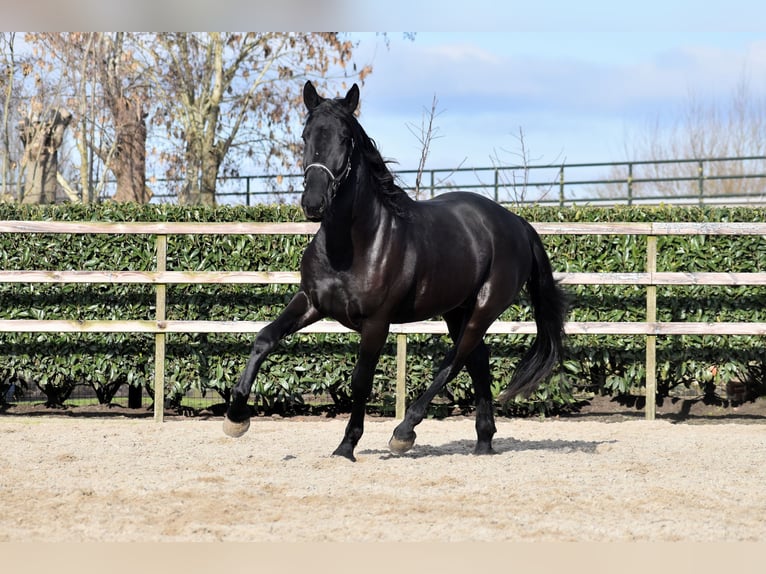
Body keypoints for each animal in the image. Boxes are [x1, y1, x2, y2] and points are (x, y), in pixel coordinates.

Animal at [223, 81, 568, 461]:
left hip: (484, 308)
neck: (352, 245)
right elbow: (264, 338)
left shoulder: (376, 323)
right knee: (477, 359)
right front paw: (235, 418)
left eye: (345, 138)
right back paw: (483, 441)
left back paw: (404, 433)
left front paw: (346, 446)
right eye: (305, 135)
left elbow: (361, 380)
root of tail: (518, 224)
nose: (313, 204)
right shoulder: (311, 302)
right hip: (456, 310)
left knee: (456, 360)